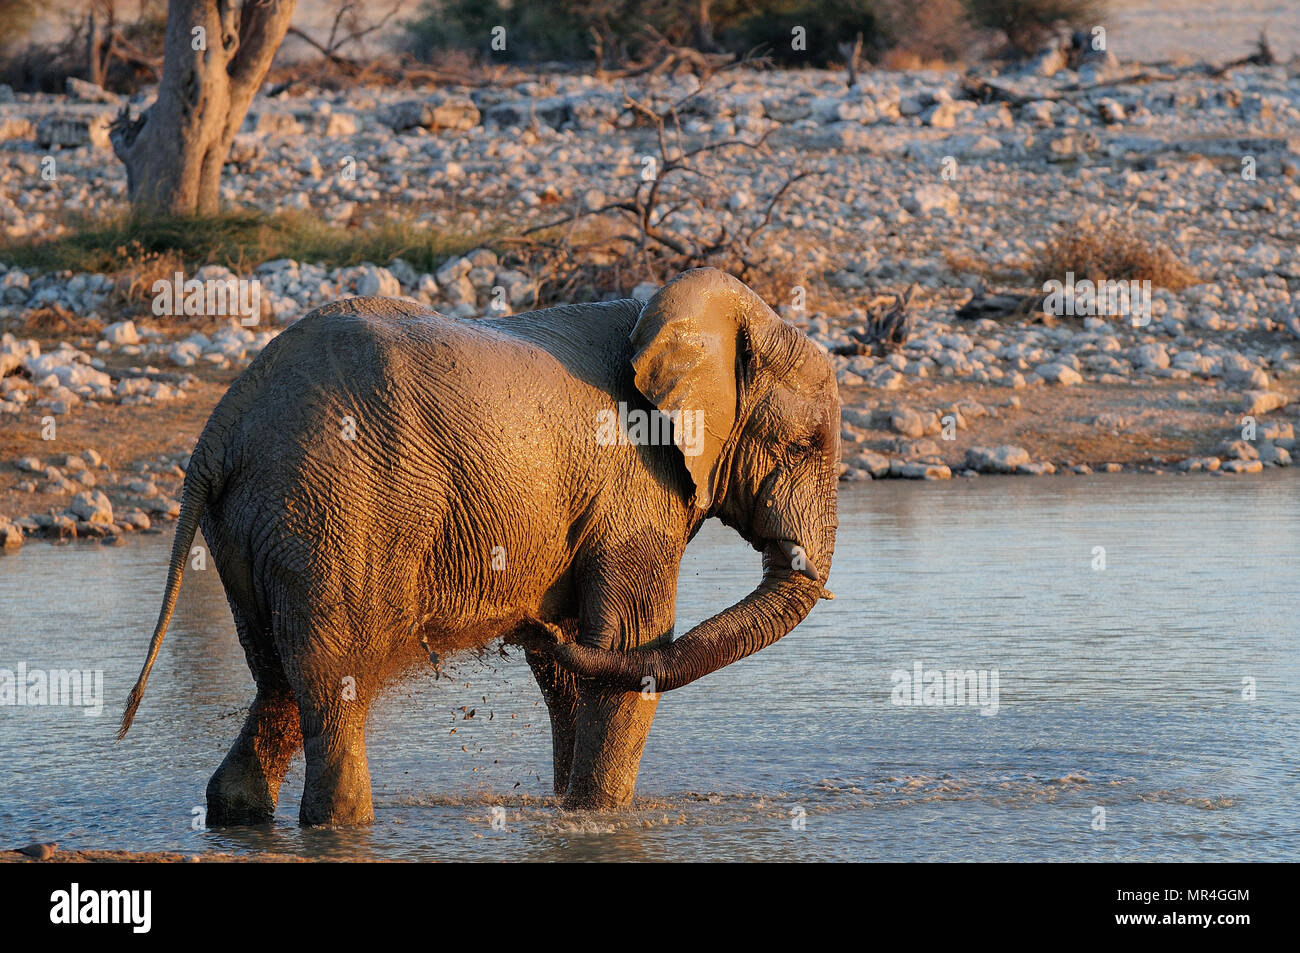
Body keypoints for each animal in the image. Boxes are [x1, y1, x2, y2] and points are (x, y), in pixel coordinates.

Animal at [119, 265, 842, 826]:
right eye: (806, 444)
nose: (528, 618)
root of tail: (223, 422)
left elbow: (579, 659)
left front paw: (570, 811)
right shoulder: (637, 481)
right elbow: (631, 640)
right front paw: (603, 818)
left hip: (255, 526)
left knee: (277, 680)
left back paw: (239, 813)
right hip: (331, 512)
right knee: (332, 678)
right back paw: (344, 822)